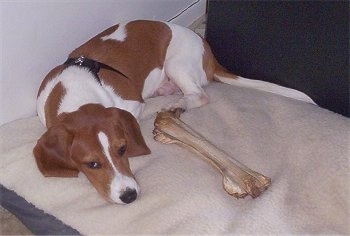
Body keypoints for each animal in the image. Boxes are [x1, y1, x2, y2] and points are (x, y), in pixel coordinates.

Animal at [32, 19, 312, 205]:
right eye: (92, 164)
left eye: (122, 149)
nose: (130, 195)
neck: (77, 93)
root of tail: (208, 53)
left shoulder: (132, 102)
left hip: (177, 64)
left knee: (200, 95)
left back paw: (176, 104)